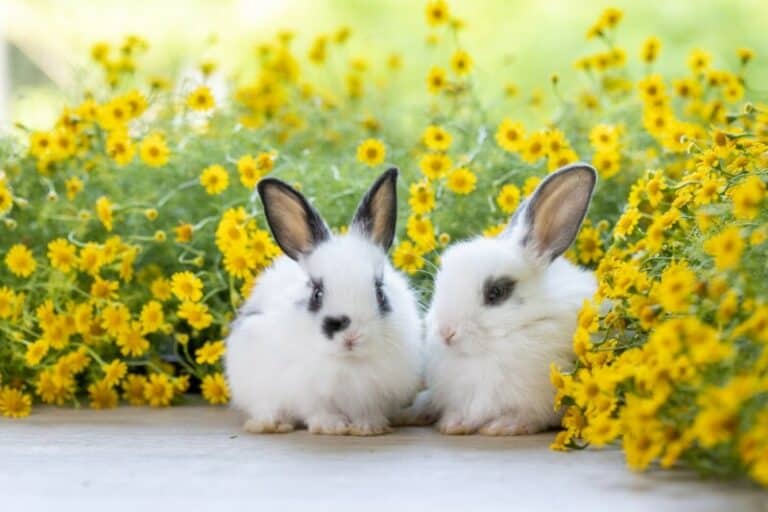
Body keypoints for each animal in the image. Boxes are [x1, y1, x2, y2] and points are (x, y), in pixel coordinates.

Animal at [225, 167, 423, 436]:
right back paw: (271, 424)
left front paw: (368, 427)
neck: (347, 363)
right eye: (317, 294)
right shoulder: (307, 392)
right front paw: (332, 427)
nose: (351, 334)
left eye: (380, 292)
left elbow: (367, 411)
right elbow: (318, 410)